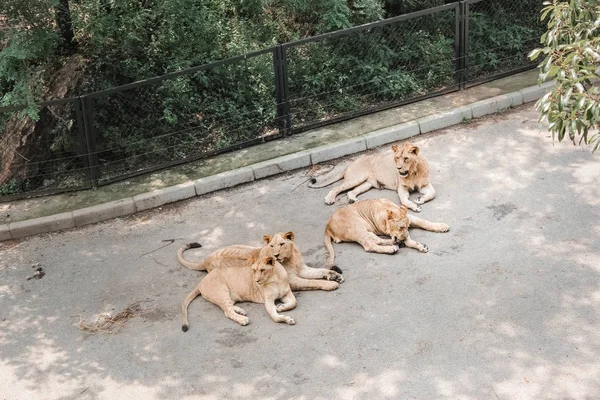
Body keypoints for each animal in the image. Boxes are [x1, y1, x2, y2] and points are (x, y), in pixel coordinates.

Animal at [177, 231, 342, 290]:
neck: (290, 258)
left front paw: (335, 275)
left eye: (282, 244)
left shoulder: (303, 268)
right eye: (272, 245)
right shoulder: (292, 280)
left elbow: (320, 271)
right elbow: (312, 281)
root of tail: (206, 260)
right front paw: (330, 284)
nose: (276, 255)